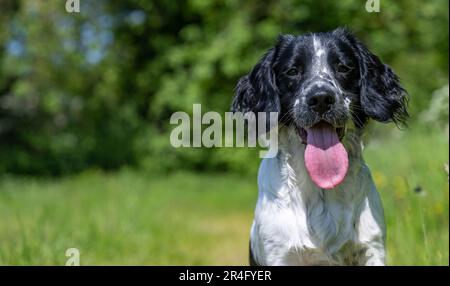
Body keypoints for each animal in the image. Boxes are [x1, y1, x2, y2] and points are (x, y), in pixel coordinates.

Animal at [230, 27, 410, 264]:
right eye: (292, 71)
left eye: (343, 68)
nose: (321, 98)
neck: (321, 187)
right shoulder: (279, 253)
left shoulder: (372, 247)